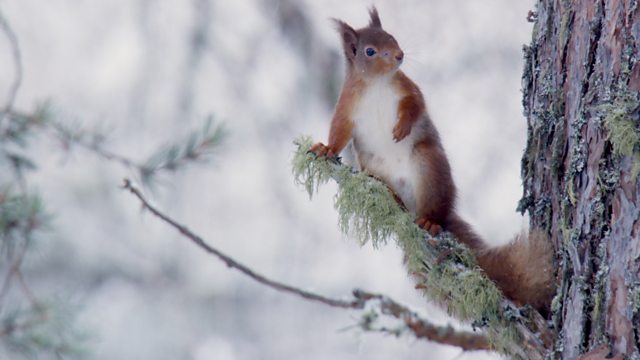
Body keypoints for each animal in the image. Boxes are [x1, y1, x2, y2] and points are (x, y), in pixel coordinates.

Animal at [312, 6, 556, 316]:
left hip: (428, 164)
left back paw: (430, 222)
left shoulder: (406, 87)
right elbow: (339, 132)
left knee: (435, 209)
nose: (400, 55)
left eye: (392, 36)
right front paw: (326, 148)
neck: (377, 84)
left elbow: (416, 104)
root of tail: (414, 207)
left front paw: (402, 127)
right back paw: (395, 202)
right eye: (369, 51)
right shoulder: (347, 105)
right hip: (375, 174)